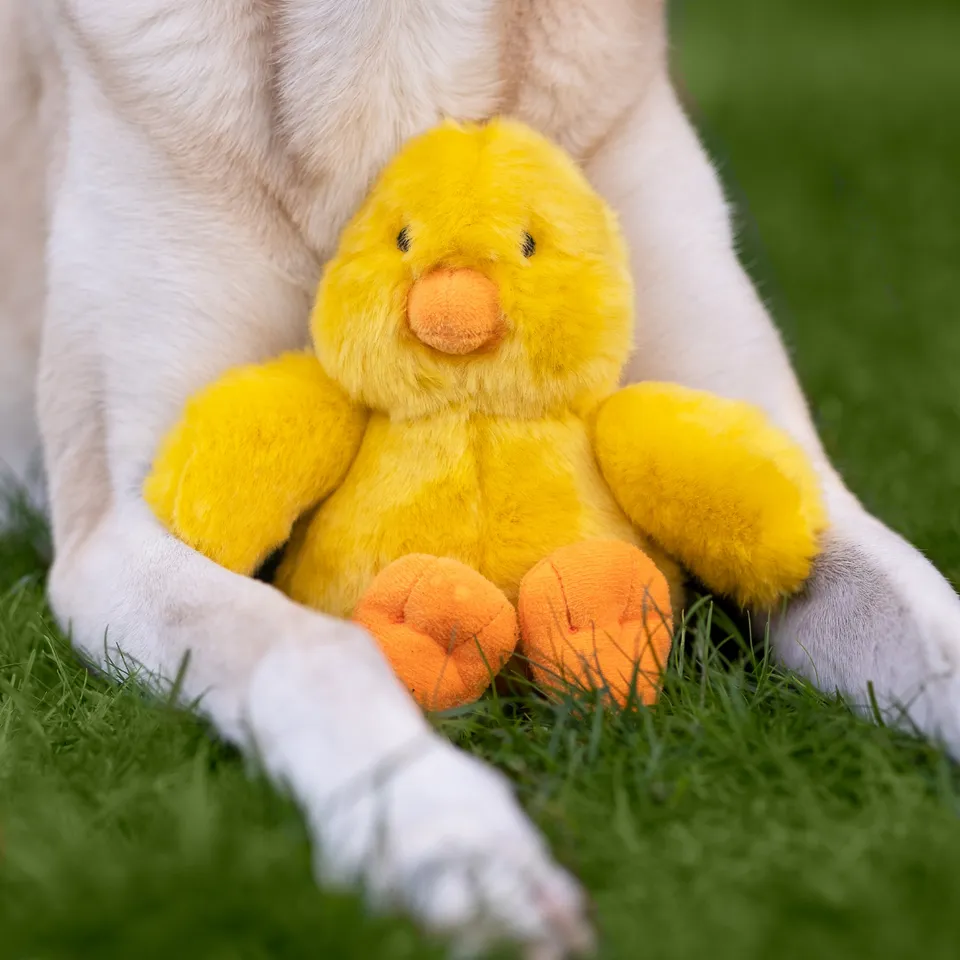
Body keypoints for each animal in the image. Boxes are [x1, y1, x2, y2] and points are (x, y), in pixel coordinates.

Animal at [5, 1, 960, 952]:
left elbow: (927, 619)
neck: (390, 35)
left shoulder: (775, 475)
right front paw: (449, 839)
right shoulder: (125, 526)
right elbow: (309, 644)